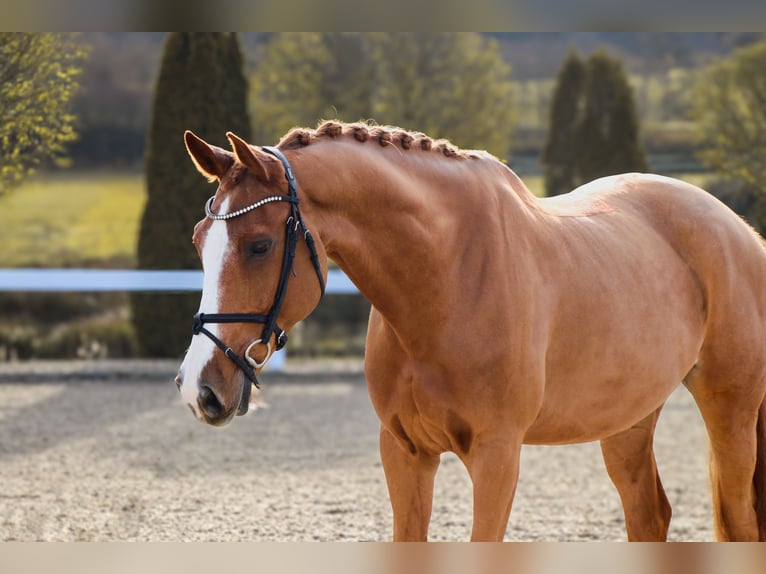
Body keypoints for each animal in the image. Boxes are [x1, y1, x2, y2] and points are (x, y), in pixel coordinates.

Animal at [175, 120, 766, 542]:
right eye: (199, 240)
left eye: (259, 246)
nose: (199, 388)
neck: (446, 283)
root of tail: (739, 229)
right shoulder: (405, 453)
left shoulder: (497, 456)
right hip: (629, 419)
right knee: (649, 517)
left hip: (731, 411)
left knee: (740, 523)